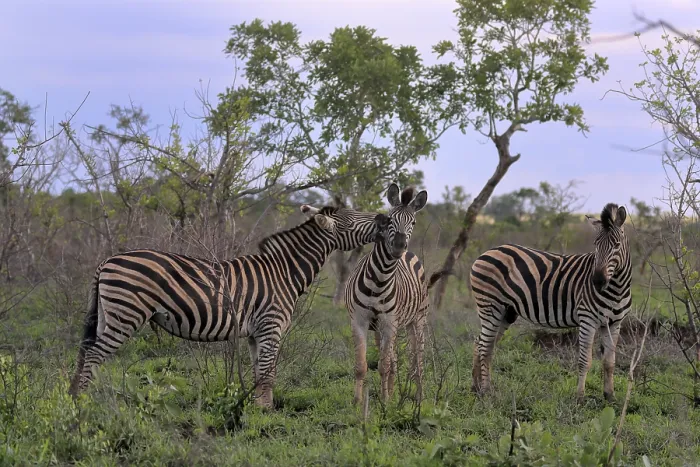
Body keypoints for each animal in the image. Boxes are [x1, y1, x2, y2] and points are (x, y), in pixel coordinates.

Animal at [68, 203, 382, 409]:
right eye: (354, 218)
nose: (381, 217)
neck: (284, 271)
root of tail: (107, 261)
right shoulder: (271, 326)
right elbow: (268, 373)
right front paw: (268, 414)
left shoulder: (256, 333)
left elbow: (259, 373)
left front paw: (259, 409)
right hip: (126, 314)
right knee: (95, 354)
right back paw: (84, 401)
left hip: (108, 315)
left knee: (87, 352)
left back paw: (80, 396)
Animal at [345, 183, 430, 405]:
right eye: (390, 219)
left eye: (413, 222)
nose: (399, 246)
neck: (379, 280)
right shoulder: (359, 321)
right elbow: (361, 365)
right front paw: (356, 402)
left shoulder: (389, 323)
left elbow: (383, 366)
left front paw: (384, 402)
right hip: (386, 328)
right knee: (395, 359)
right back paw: (393, 392)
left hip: (417, 320)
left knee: (417, 358)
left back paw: (419, 397)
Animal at [469, 203, 631, 402]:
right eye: (595, 245)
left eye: (616, 245)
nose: (597, 281)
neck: (617, 287)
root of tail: (486, 252)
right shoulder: (588, 320)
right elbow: (585, 361)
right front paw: (579, 397)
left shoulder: (614, 323)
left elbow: (609, 362)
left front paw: (609, 396)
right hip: (490, 307)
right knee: (484, 347)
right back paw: (486, 391)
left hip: (505, 312)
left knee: (481, 343)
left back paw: (476, 387)